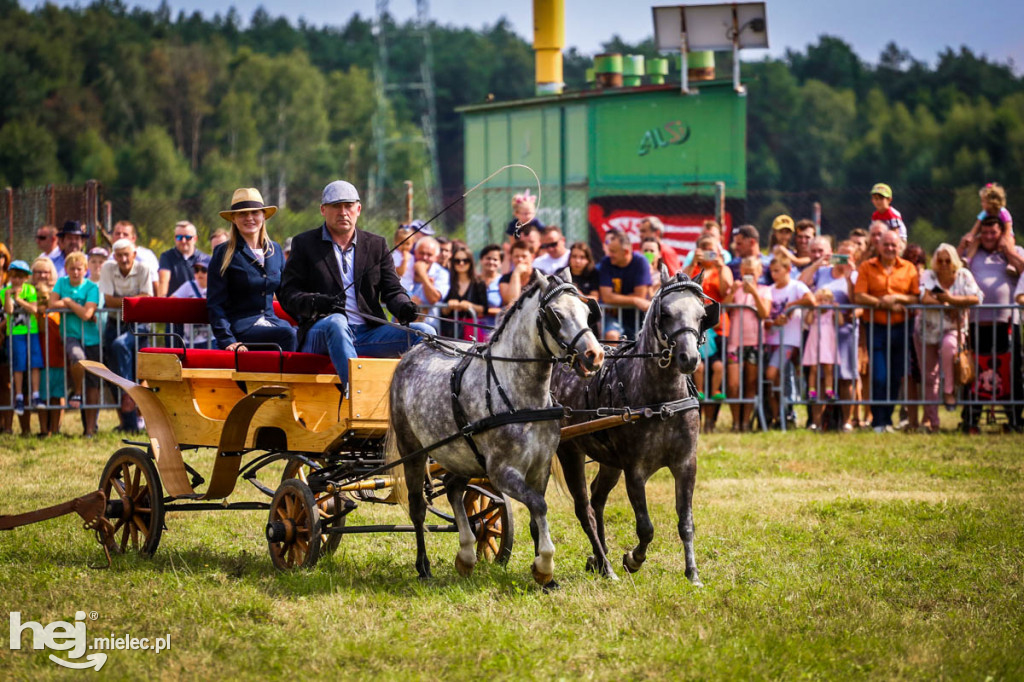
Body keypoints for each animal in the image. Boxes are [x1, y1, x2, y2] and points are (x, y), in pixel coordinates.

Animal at [387, 270, 602, 585]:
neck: (521, 398)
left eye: (588, 312)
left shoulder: (540, 469)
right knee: (417, 508)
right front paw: (544, 565)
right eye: (557, 315)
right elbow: (539, 505)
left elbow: (537, 512)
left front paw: (544, 577)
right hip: (412, 451)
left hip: (461, 456)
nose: (595, 355)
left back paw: (466, 555)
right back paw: (423, 567)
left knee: (453, 489)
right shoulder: (502, 473)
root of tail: (412, 352)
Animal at [552, 268, 720, 581]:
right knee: (585, 509)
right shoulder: (635, 471)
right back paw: (605, 564)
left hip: (609, 462)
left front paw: (692, 573)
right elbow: (646, 527)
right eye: (666, 313)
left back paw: (599, 558)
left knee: (597, 497)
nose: (689, 358)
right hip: (570, 452)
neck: (663, 401)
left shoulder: (686, 465)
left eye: (702, 314)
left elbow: (686, 522)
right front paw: (633, 559)